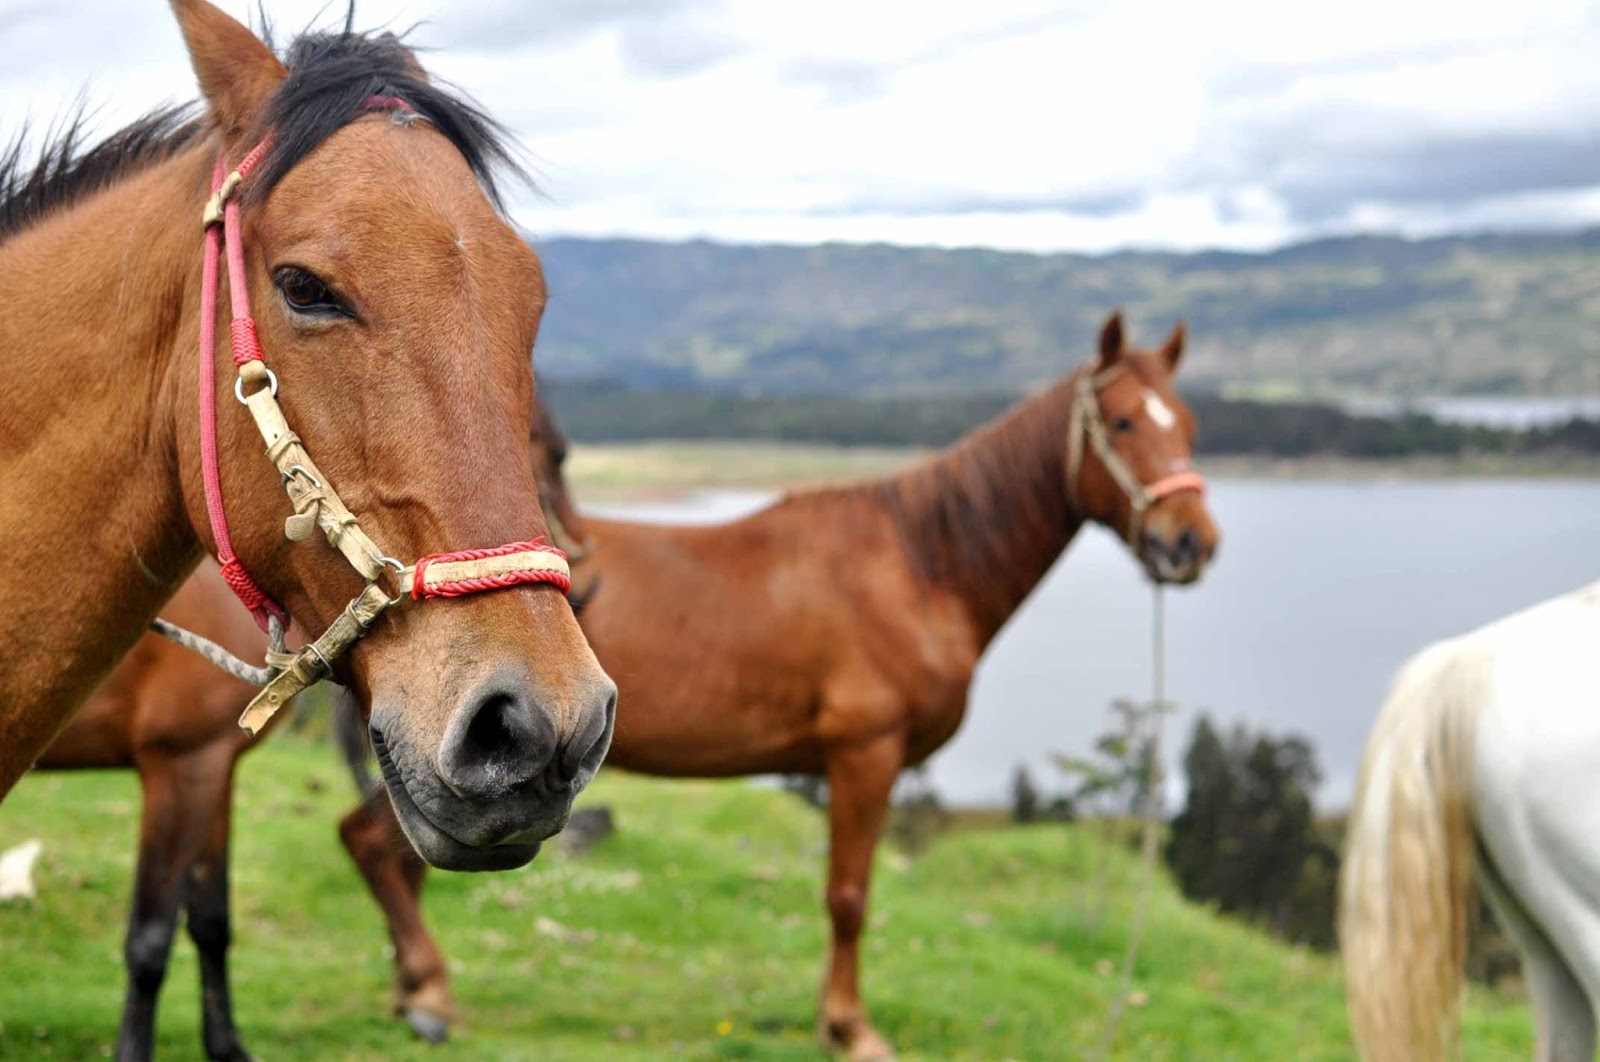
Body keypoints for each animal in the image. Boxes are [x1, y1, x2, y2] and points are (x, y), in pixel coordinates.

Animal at [350, 311, 1222, 1055]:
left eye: (1188, 426)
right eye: (1122, 423)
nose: (1191, 543)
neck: (917, 565)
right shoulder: (864, 755)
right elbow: (849, 898)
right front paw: (848, 1028)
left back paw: (413, 990)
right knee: (371, 845)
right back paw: (428, 992)